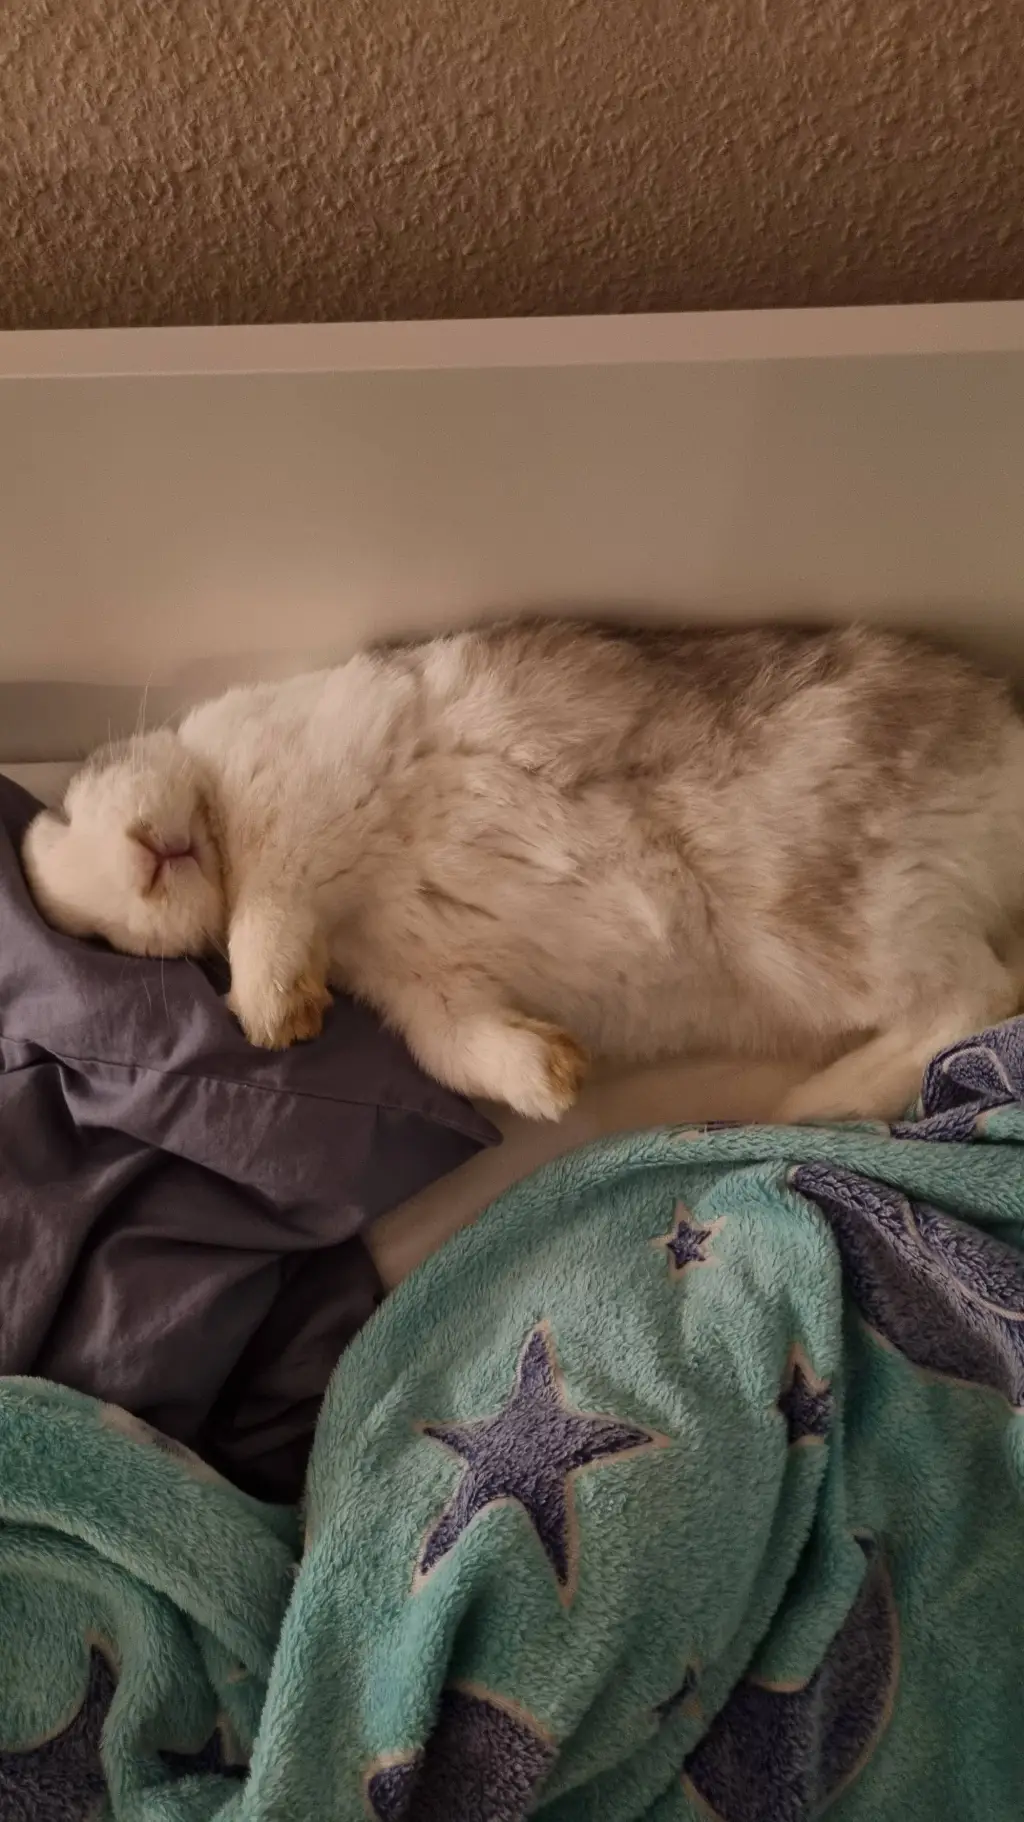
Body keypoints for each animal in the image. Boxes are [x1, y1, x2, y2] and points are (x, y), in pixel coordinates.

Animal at [21, 618, 1024, 1123]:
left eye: (69, 803)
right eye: (100, 936)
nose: (148, 862)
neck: (221, 815)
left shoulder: (311, 796)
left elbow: (265, 911)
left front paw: (267, 1015)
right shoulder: (423, 984)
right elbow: (453, 1046)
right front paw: (553, 1077)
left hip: (836, 914)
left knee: (977, 1000)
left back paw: (810, 1104)